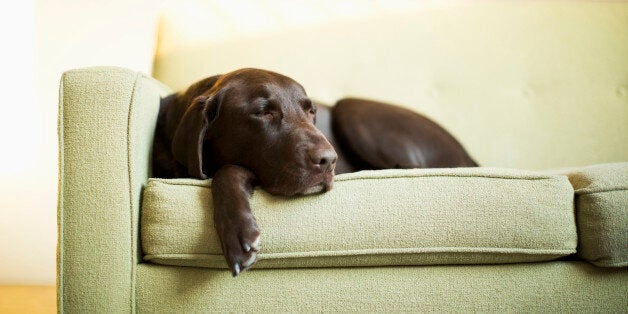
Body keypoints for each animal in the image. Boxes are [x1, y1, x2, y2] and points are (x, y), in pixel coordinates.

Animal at [152, 67, 476, 276]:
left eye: (311, 112)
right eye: (263, 112)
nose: (329, 160)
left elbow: (228, 170)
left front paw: (238, 233)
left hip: (351, 108)